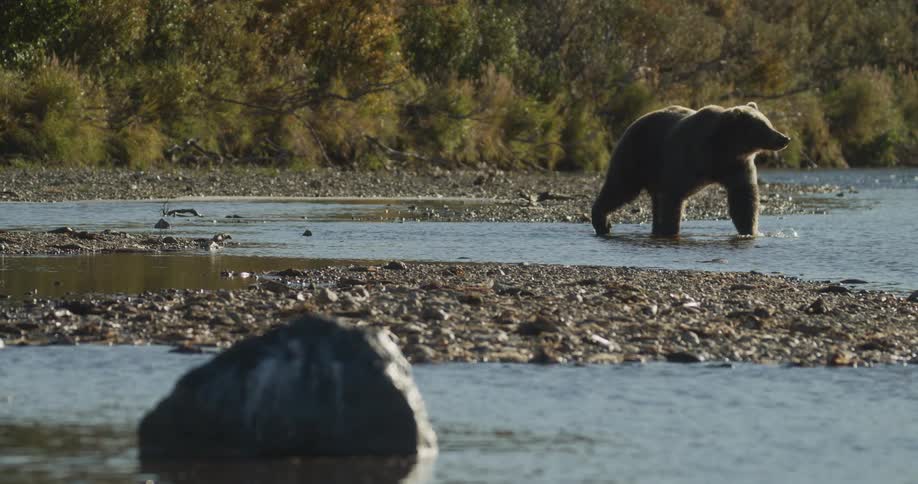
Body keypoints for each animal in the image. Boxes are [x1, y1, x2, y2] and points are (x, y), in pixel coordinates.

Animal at [591, 102, 790, 237]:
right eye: (764, 126)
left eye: (768, 123)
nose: (784, 138)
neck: (724, 147)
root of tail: (634, 121)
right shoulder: (688, 157)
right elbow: (674, 197)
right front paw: (671, 230)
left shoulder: (736, 166)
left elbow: (744, 199)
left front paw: (749, 230)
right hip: (638, 154)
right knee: (621, 187)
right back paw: (602, 222)